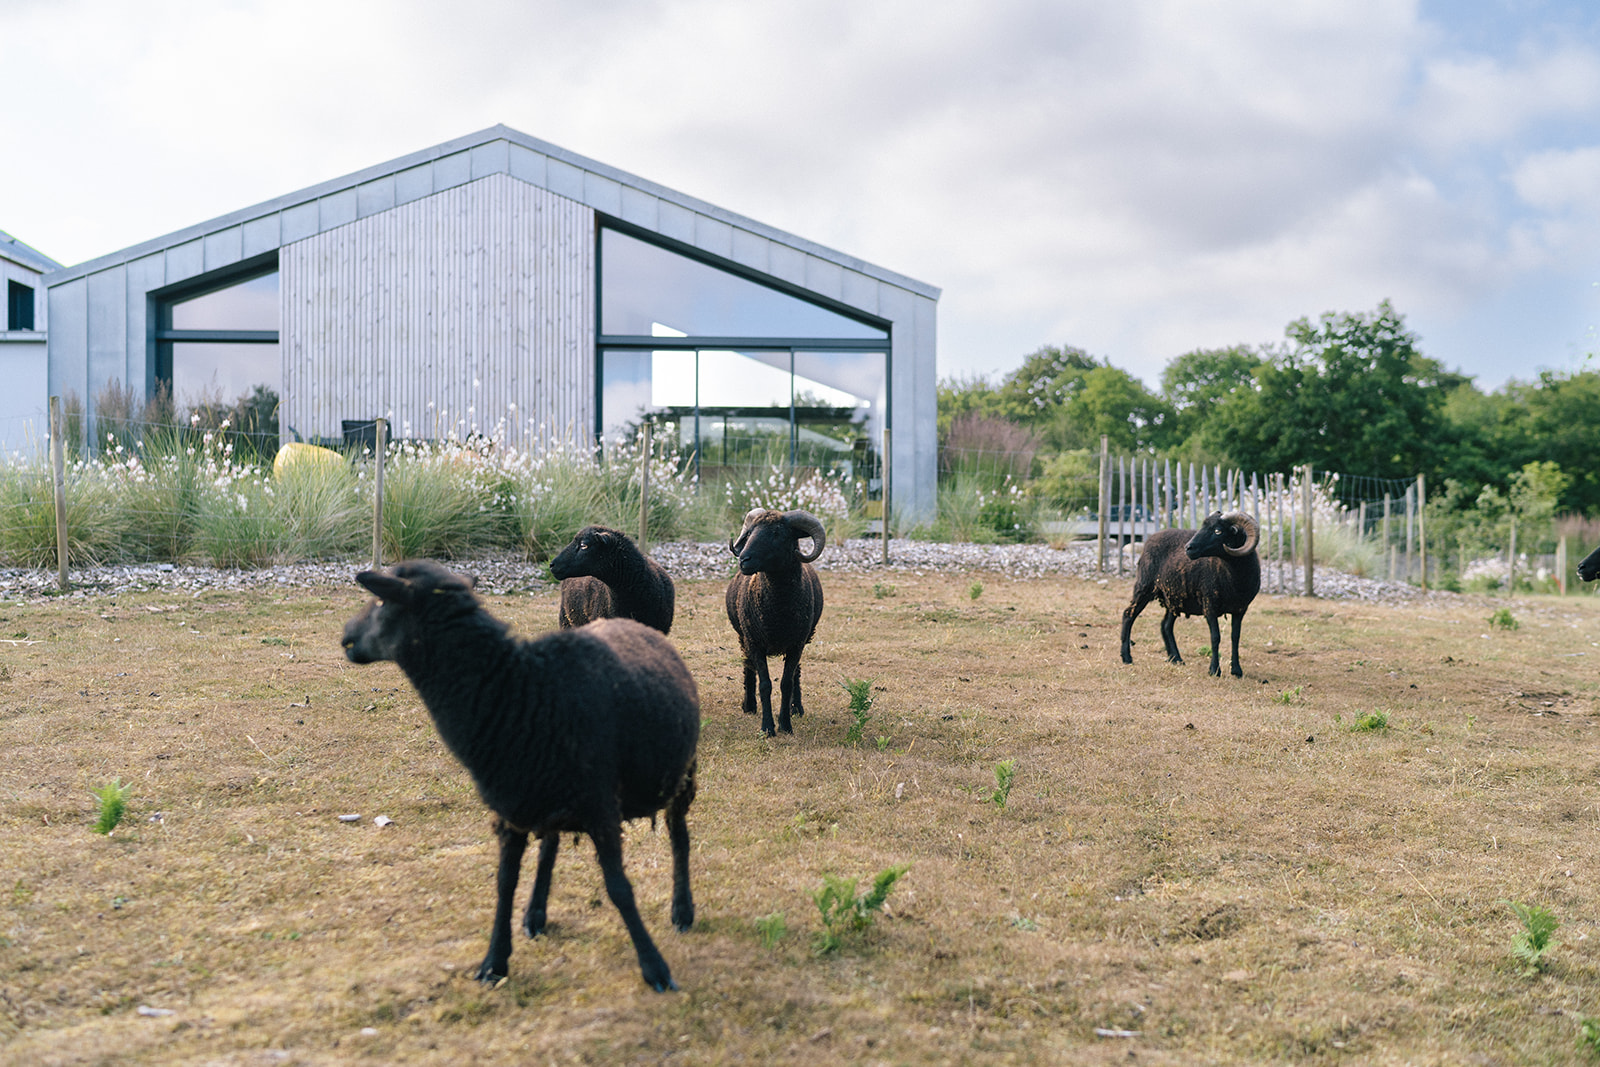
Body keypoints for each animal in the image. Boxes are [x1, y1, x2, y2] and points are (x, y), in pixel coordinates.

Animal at [340, 559, 697, 991]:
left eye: (380, 600)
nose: (345, 637)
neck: (521, 691)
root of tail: (636, 626)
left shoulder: (599, 806)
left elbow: (619, 888)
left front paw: (654, 967)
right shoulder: (508, 807)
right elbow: (504, 882)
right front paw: (494, 962)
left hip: (681, 775)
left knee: (679, 837)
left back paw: (682, 911)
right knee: (551, 845)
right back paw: (536, 914)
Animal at [726, 508, 825, 735]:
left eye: (777, 534)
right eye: (750, 532)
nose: (743, 559)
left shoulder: (796, 644)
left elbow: (786, 683)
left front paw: (785, 724)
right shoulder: (754, 643)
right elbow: (765, 684)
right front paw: (767, 728)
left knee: (797, 673)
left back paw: (796, 708)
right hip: (743, 637)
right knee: (748, 666)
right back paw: (749, 705)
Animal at [1120, 508, 1254, 675]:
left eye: (1218, 531)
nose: (1188, 548)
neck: (1234, 578)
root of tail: (1150, 539)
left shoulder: (1240, 609)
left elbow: (1235, 637)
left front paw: (1236, 670)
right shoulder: (1209, 605)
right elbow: (1215, 637)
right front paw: (1214, 670)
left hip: (1173, 598)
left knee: (1166, 626)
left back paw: (1176, 658)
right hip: (1144, 587)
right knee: (1128, 615)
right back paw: (1126, 657)